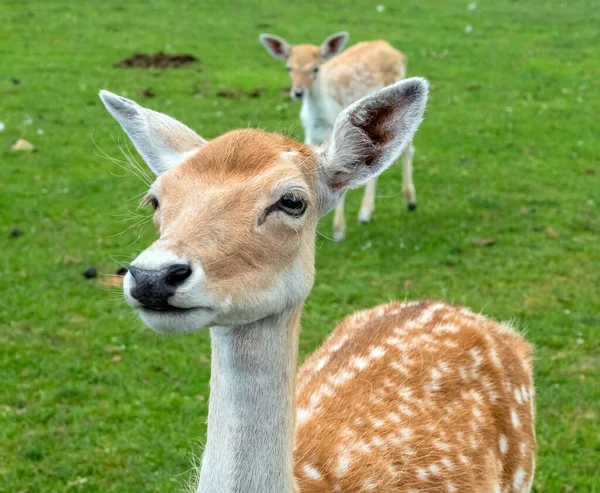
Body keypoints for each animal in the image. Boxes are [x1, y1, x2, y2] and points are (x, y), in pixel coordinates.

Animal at [258, 29, 418, 241]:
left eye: (315, 69)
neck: (321, 118)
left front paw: (339, 231)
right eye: (288, 67)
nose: (298, 92)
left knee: (406, 146)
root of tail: (390, 47)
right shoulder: (310, 135)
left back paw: (399, 204)